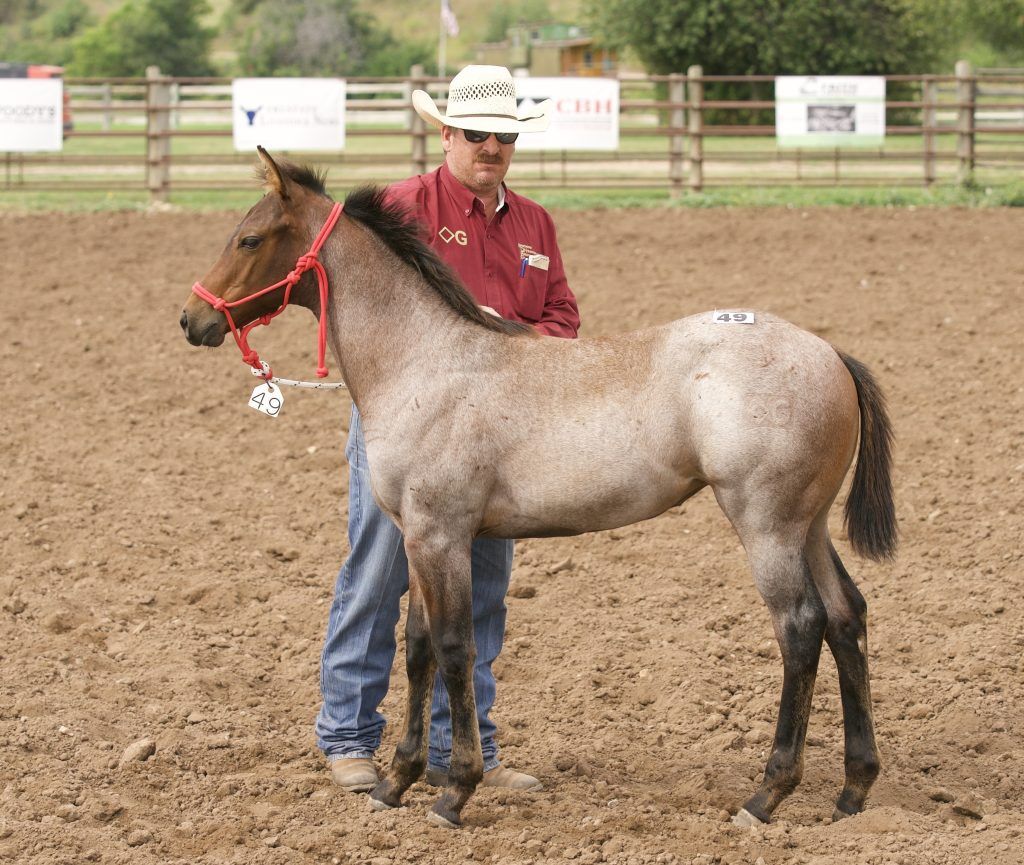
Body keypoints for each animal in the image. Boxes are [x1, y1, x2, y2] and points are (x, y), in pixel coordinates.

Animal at [184, 148, 897, 831]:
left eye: (249, 239)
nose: (192, 319)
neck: (426, 361)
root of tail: (829, 354)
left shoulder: (441, 536)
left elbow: (454, 649)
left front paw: (455, 792)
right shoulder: (418, 539)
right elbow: (416, 649)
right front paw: (396, 783)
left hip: (766, 526)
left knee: (801, 629)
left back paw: (766, 796)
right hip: (808, 526)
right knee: (846, 617)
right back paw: (853, 789)